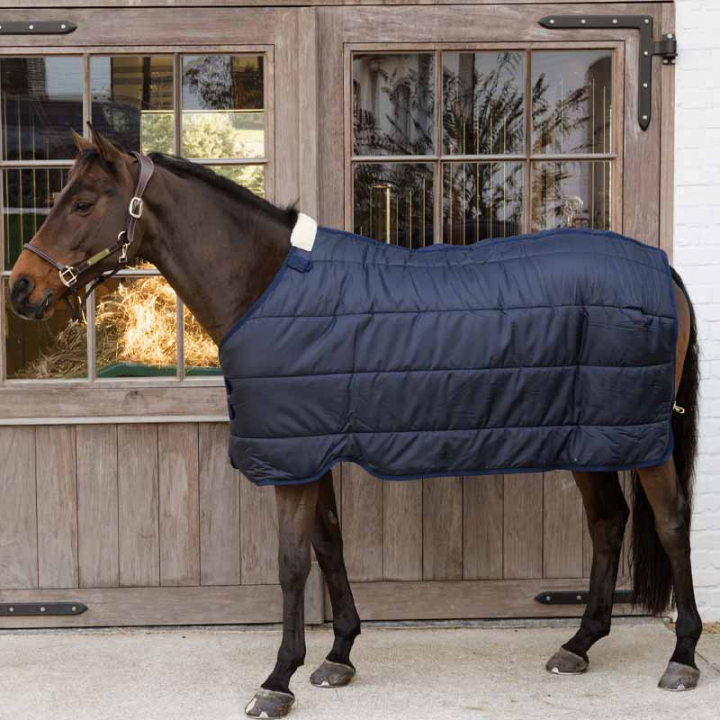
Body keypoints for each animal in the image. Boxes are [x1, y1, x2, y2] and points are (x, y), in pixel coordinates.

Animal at [8, 129, 702, 719]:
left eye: (83, 203)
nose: (20, 288)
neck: (268, 286)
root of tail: (663, 268)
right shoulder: (310, 448)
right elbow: (329, 546)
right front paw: (338, 656)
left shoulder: (292, 459)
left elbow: (292, 563)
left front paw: (278, 680)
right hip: (591, 437)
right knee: (608, 523)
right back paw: (578, 644)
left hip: (640, 440)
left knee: (670, 524)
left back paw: (683, 657)